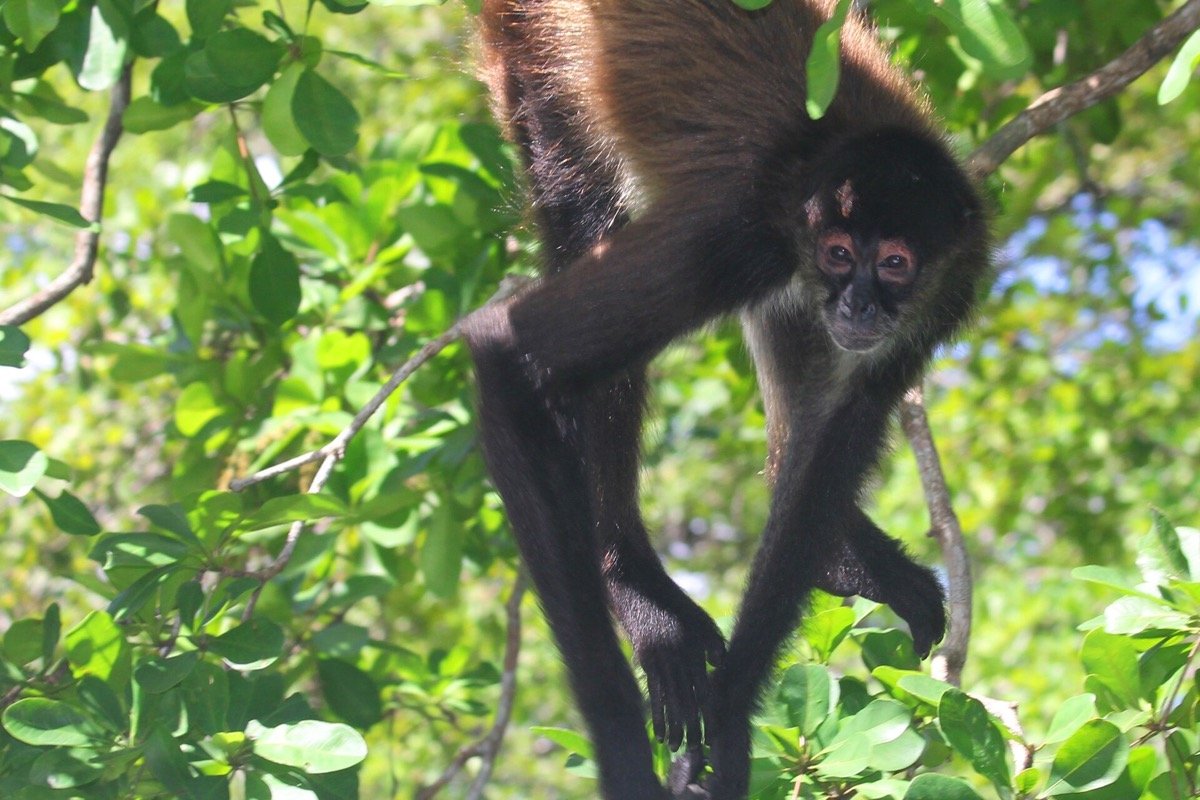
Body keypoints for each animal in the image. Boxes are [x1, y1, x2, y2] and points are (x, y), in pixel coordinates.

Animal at [462, 1, 991, 798]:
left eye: (895, 263)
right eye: (839, 253)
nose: (860, 305)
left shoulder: (951, 281)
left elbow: (845, 421)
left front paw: (733, 712)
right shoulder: (740, 237)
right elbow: (505, 353)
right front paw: (627, 756)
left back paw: (844, 558)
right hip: (531, 57)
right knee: (588, 220)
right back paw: (636, 590)